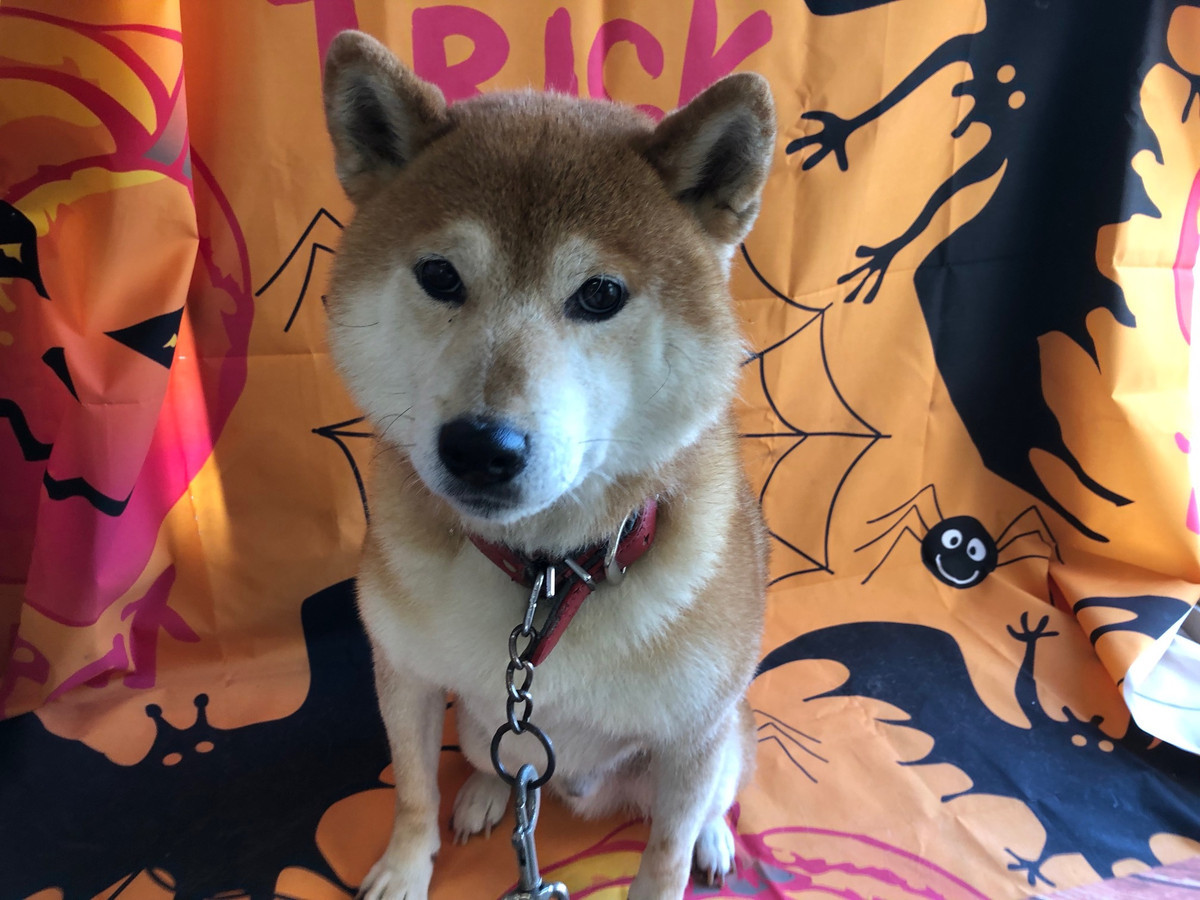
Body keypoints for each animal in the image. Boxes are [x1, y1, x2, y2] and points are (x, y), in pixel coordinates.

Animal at [321, 30, 773, 900]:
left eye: (599, 294)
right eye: (440, 276)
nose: (480, 447)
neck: (548, 573)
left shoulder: (696, 732)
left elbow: (664, 857)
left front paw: (683, 857)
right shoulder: (406, 674)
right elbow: (412, 789)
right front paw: (405, 865)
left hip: (727, 737)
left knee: (714, 801)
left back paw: (714, 841)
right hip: (480, 722)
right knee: (500, 760)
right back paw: (486, 793)